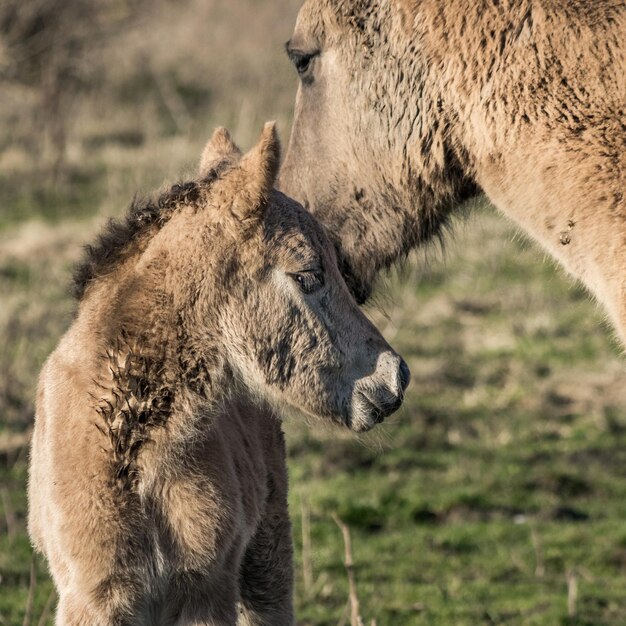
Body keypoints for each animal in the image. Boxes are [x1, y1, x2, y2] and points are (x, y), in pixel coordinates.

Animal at [28, 123, 410, 624]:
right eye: (308, 275)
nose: (395, 377)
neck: (142, 466)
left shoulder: (207, 591)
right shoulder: (94, 598)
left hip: (267, 562)